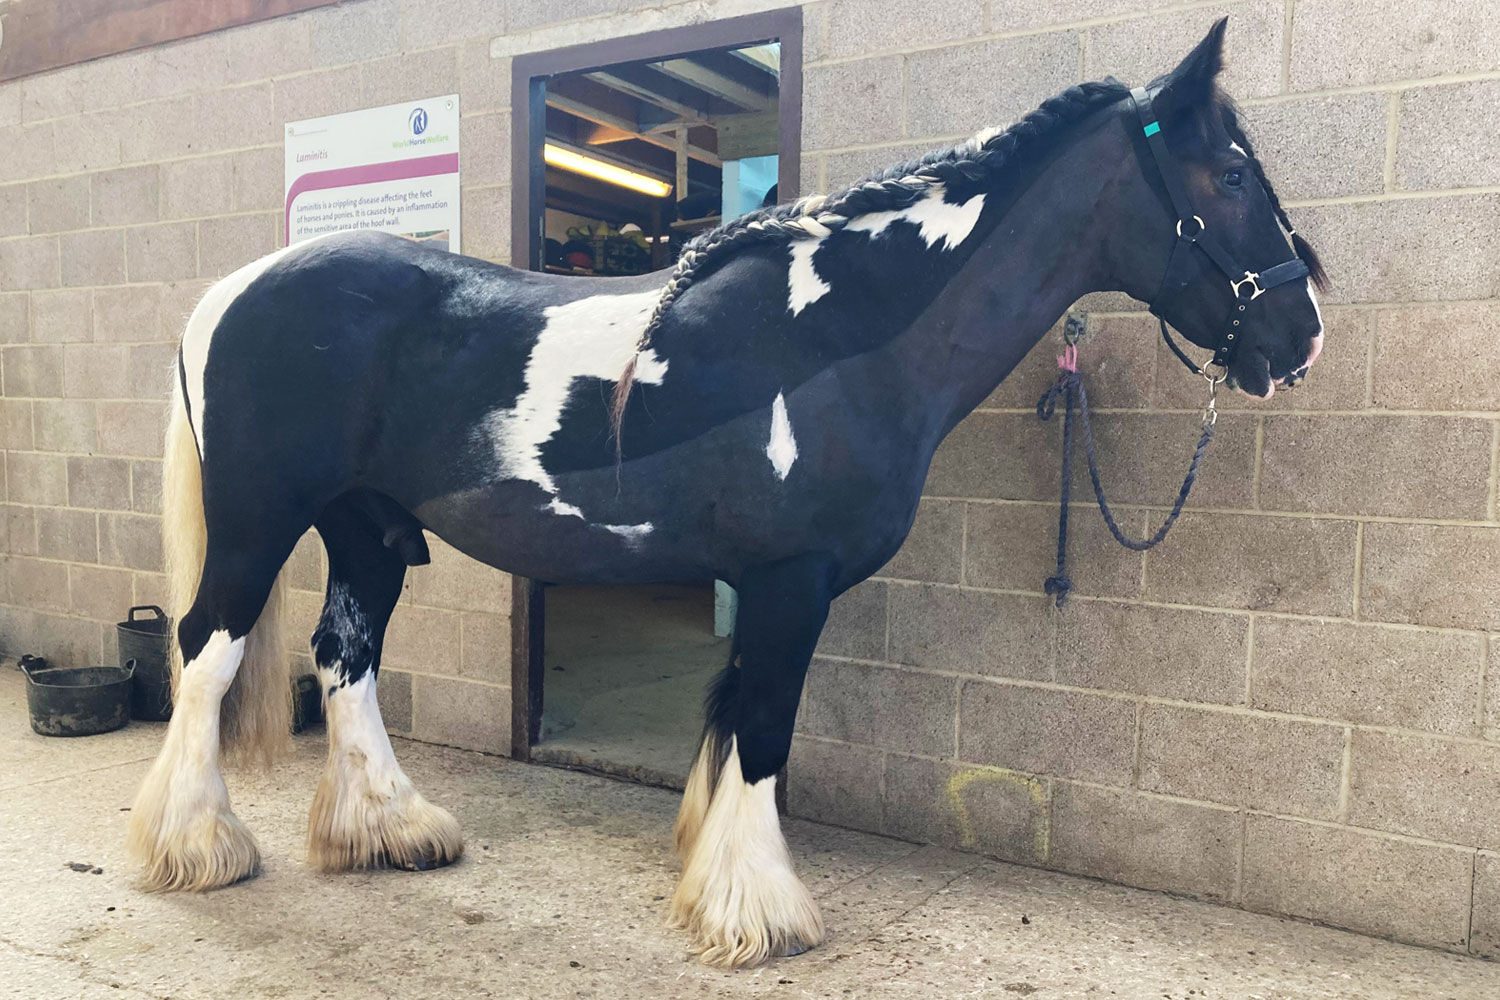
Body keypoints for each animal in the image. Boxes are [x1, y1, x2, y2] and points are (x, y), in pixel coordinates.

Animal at [129, 17, 1326, 971]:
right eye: (1228, 175)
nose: (1300, 331)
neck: (839, 337)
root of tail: (233, 290)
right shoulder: (792, 578)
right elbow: (762, 729)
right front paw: (759, 914)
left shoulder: (768, 580)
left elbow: (735, 717)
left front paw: (716, 878)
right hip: (258, 525)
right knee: (207, 651)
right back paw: (196, 847)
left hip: (370, 528)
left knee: (345, 655)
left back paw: (390, 830)